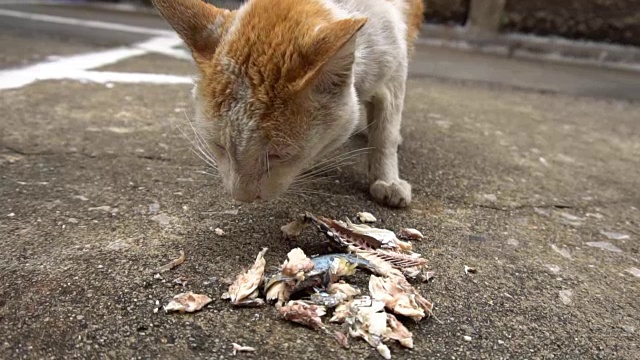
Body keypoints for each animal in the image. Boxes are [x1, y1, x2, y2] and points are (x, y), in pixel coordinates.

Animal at [151, 0, 424, 207]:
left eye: (279, 156)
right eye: (219, 147)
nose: (243, 197)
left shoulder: (393, 68)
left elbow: (386, 131)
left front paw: (387, 179)